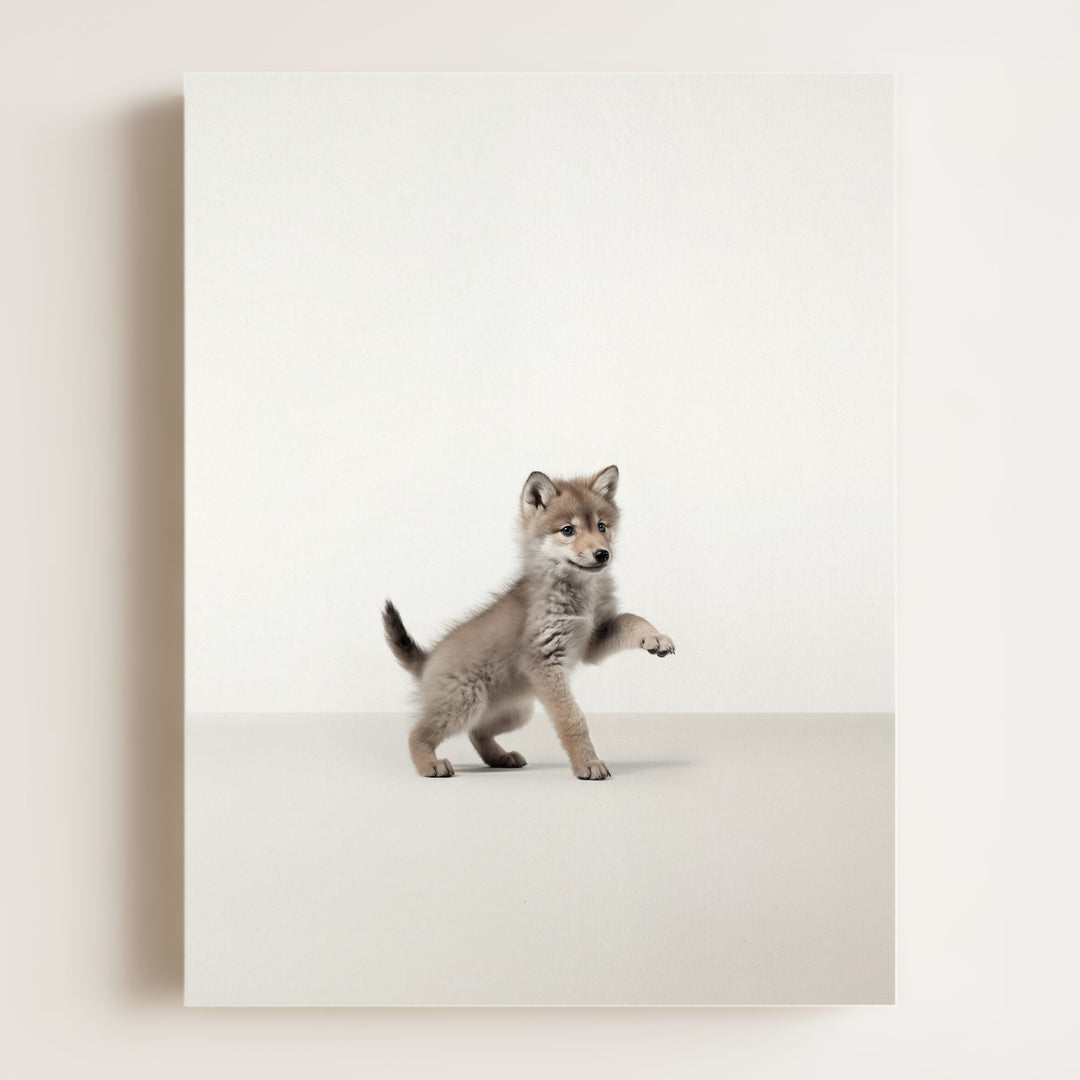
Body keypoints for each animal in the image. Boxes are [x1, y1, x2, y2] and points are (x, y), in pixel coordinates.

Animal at [382, 465, 674, 780]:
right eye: (568, 530)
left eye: (601, 526)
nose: (602, 554)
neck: (579, 592)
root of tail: (427, 660)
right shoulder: (545, 661)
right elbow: (573, 719)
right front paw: (587, 762)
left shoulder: (593, 640)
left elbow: (632, 618)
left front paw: (654, 637)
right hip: (464, 703)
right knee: (417, 733)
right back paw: (429, 764)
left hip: (515, 712)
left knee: (476, 732)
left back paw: (500, 757)